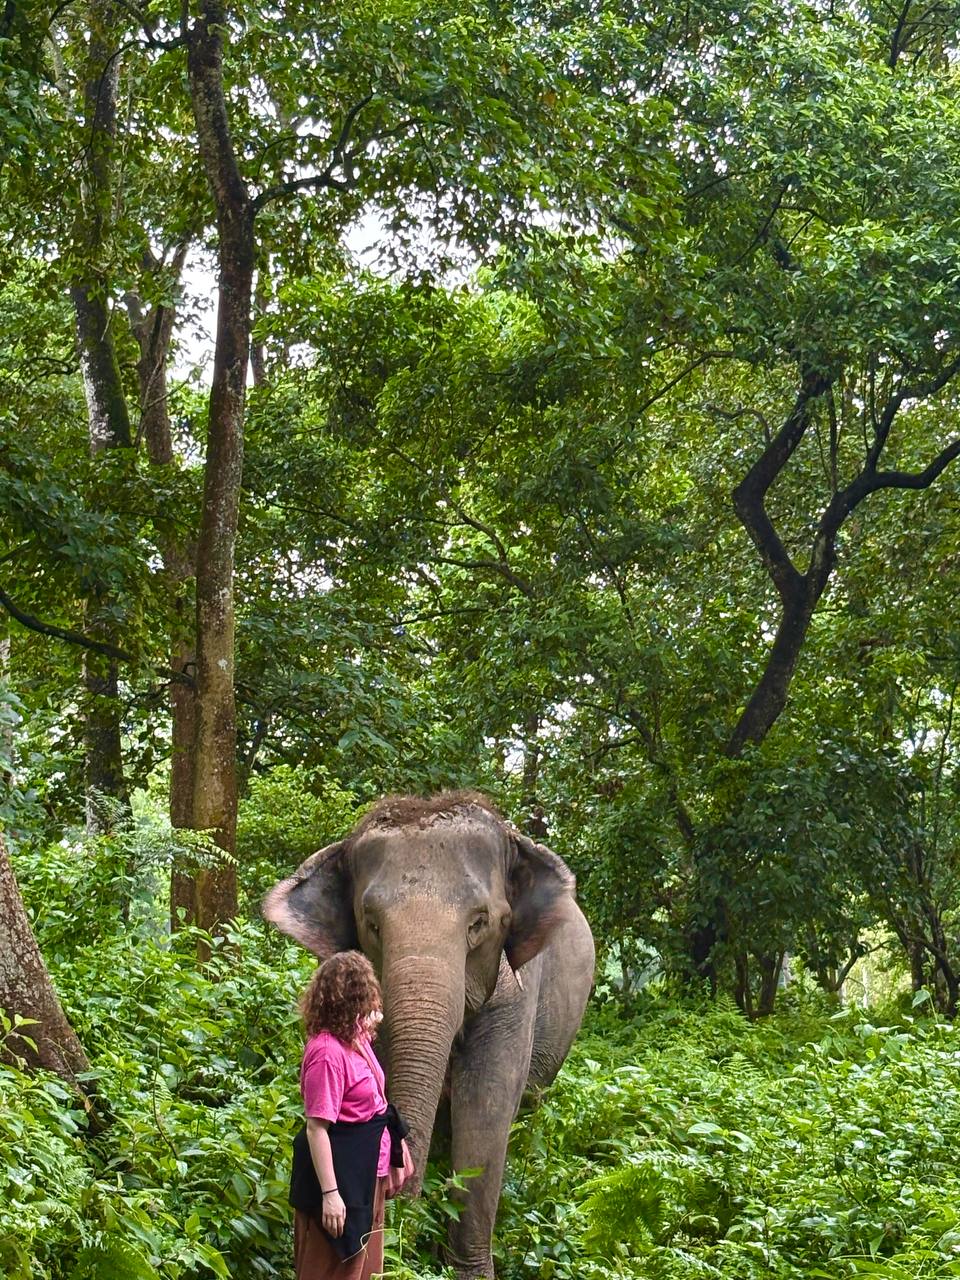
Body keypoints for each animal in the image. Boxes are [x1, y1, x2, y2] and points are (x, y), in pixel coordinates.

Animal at [263, 789, 595, 1279]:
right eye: (372, 923)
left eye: (479, 923)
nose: (398, 1194)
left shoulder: (516, 997)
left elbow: (485, 1110)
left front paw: (470, 1271)